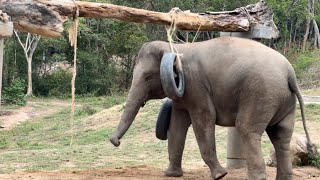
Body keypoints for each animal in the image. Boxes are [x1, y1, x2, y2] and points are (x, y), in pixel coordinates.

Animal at [109, 37, 312, 180]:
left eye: (148, 77)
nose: (114, 141)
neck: (177, 48)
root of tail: (290, 73)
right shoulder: (184, 95)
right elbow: (177, 126)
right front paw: (171, 174)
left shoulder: (196, 87)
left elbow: (203, 120)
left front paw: (220, 175)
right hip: (283, 99)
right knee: (281, 136)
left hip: (261, 93)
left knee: (247, 129)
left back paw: (257, 178)